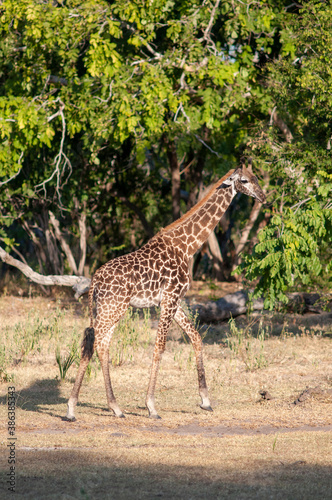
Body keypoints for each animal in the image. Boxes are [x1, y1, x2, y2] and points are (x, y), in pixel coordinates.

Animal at [65, 158, 264, 420]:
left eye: (256, 177)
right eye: (244, 180)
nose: (262, 196)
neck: (187, 245)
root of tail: (95, 280)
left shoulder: (173, 301)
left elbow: (196, 337)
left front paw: (205, 400)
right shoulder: (170, 298)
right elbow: (160, 347)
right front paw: (151, 406)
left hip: (109, 309)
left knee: (102, 344)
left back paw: (115, 408)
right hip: (113, 308)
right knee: (91, 340)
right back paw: (71, 408)